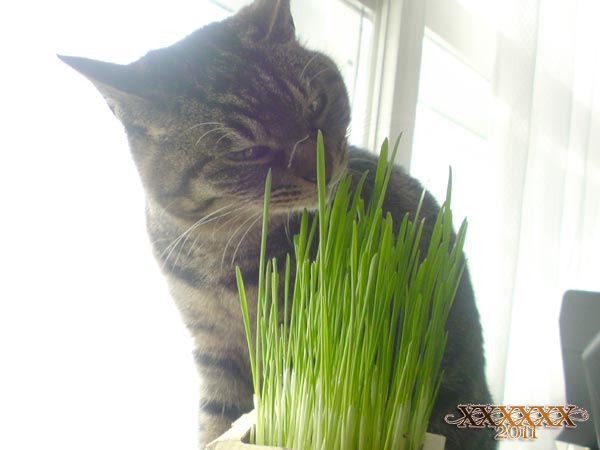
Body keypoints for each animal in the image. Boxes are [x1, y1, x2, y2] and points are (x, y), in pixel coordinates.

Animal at [59, 0, 495, 448]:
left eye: (316, 105)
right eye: (248, 152)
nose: (322, 168)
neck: (220, 249)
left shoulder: (294, 338)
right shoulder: (213, 346)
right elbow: (216, 418)